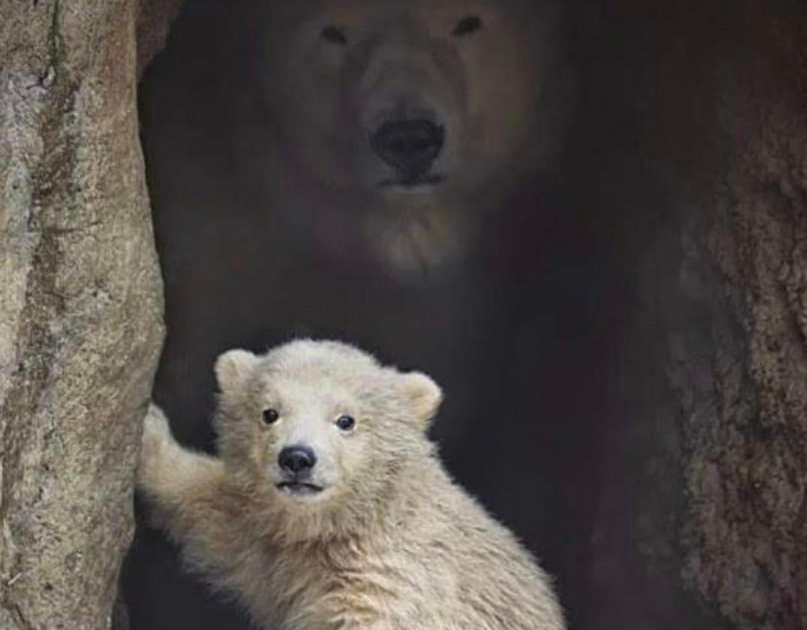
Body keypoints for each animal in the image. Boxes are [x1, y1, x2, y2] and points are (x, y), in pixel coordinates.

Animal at [123, 1, 584, 630]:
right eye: (269, 413)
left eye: (347, 421)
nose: (297, 459)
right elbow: (221, 517)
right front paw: (149, 433)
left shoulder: (397, 579)